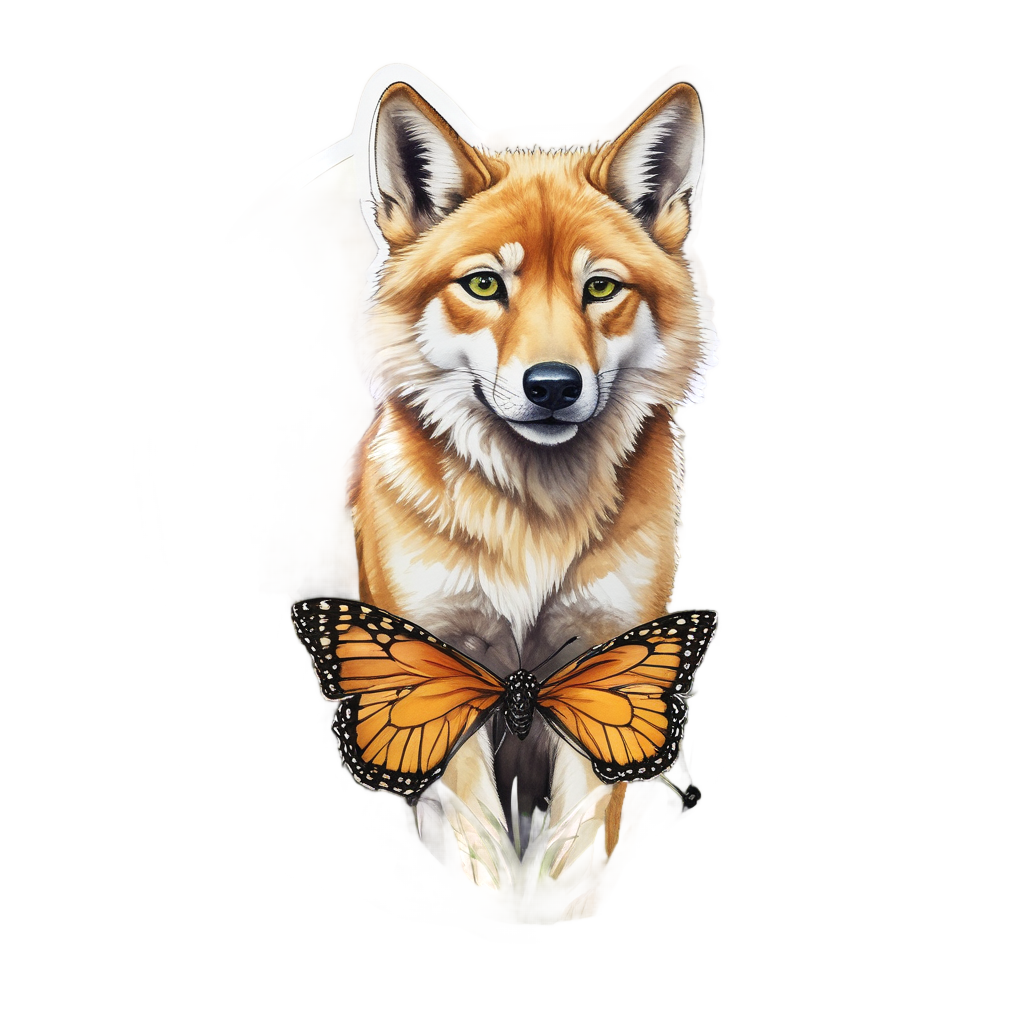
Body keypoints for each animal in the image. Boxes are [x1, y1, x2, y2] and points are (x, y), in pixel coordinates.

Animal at [343, 74, 707, 912]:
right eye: (484, 285)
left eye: (600, 288)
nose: (552, 387)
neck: (533, 516)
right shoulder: (444, 670)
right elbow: (479, 840)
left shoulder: (605, 666)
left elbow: (579, 834)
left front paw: (564, 912)